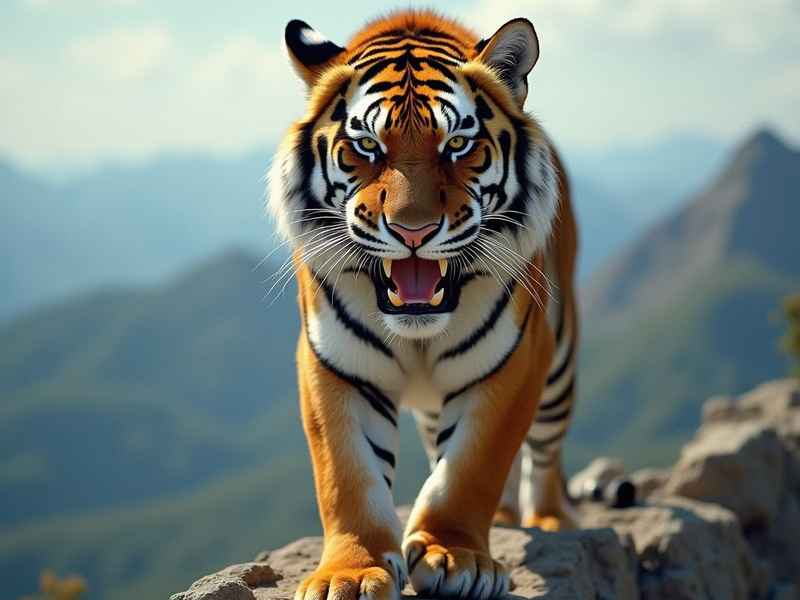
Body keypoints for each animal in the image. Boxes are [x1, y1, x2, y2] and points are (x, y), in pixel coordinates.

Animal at [267, 10, 579, 600]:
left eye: (457, 145)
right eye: (366, 147)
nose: (413, 231)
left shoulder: (514, 360)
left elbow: (471, 468)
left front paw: (456, 556)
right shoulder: (334, 365)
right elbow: (348, 475)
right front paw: (350, 573)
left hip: (559, 360)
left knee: (546, 452)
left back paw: (548, 519)